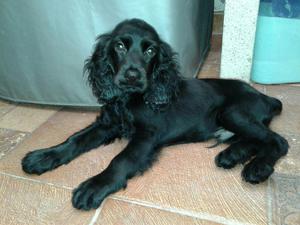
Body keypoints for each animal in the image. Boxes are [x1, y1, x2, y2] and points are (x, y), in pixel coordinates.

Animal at [21, 18, 288, 210]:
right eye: (119, 46)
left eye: (150, 51)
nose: (132, 75)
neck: (129, 99)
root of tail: (265, 96)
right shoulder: (107, 123)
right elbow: (74, 139)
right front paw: (43, 156)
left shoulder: (147, 136)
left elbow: (120, 159)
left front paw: (95, 186)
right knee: (256, 139)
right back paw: (232, 155)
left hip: (232, 113)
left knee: (278, 141)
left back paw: (258, 168)